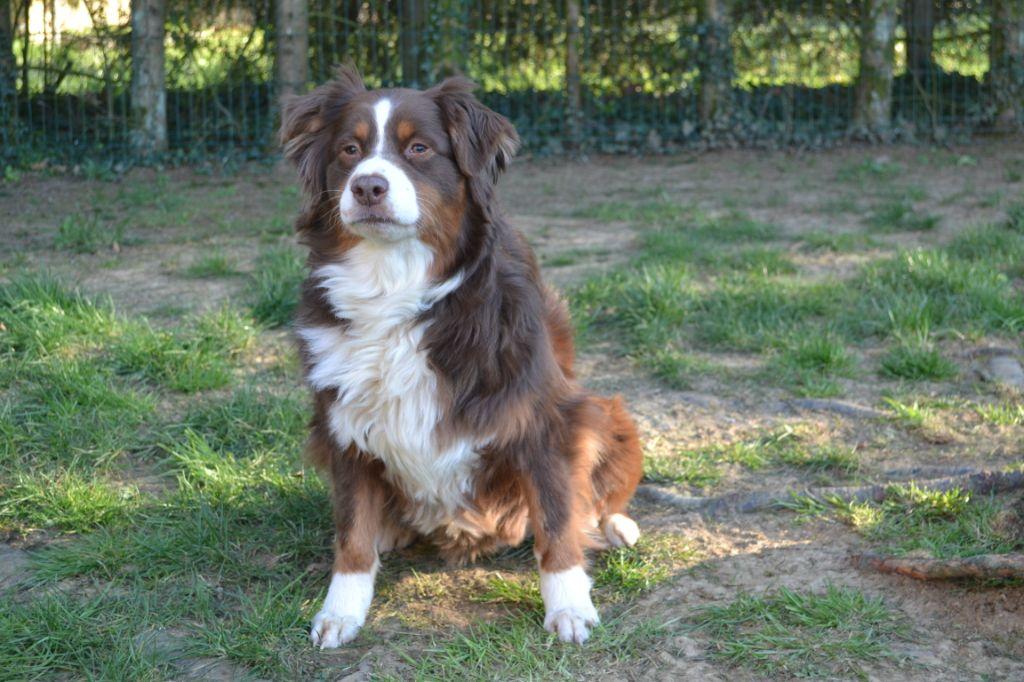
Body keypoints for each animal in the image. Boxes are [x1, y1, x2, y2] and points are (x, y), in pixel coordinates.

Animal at [280, 66, 643, 647]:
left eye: (419, 148)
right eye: (349, 149)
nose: (367, 186)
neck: (397, 285)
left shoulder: (544, 418)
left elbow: (557, 518)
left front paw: (569, 606)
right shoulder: (343, 425)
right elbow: (352, 531)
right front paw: (341, 612)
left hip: (605, 411)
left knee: (594, 497)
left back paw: (612, 525)